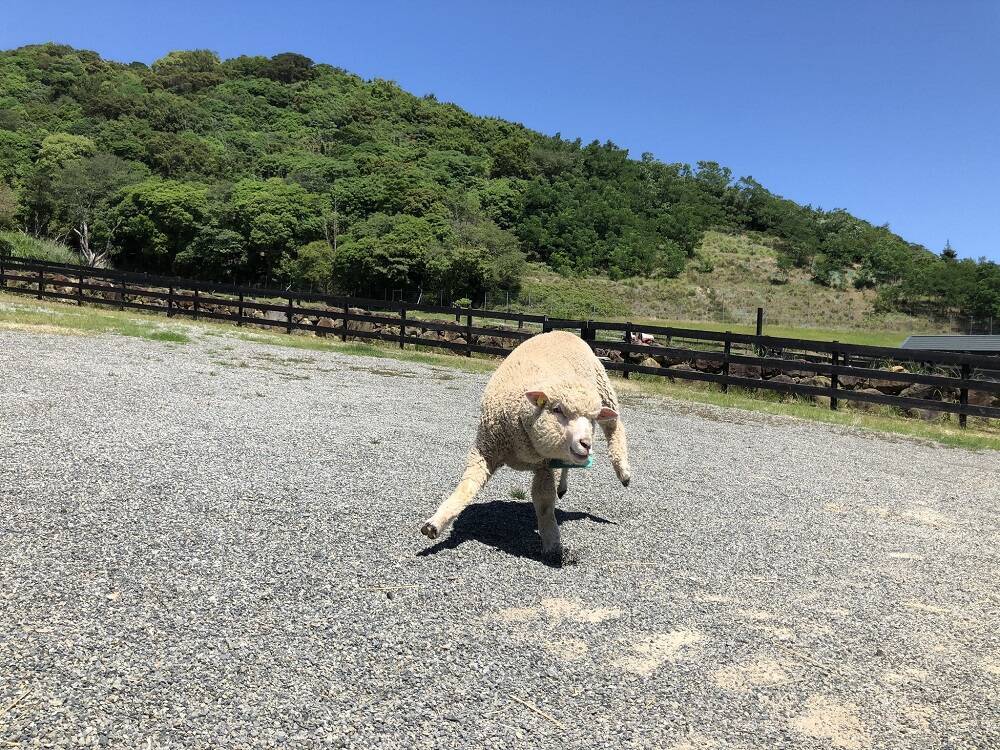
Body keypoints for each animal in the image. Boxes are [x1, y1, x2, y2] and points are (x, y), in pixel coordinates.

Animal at [418, 332, 628, 560]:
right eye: (557, 409)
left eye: (592, 419)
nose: (586, 444)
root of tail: (565, 332)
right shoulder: (485, 450)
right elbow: (468, 486)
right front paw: (435, 524)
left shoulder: (546, 465)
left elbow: (544, 503)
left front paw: (552, 544)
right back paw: (564, 486)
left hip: (603, 387)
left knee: (615, 428)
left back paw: (624, 472)